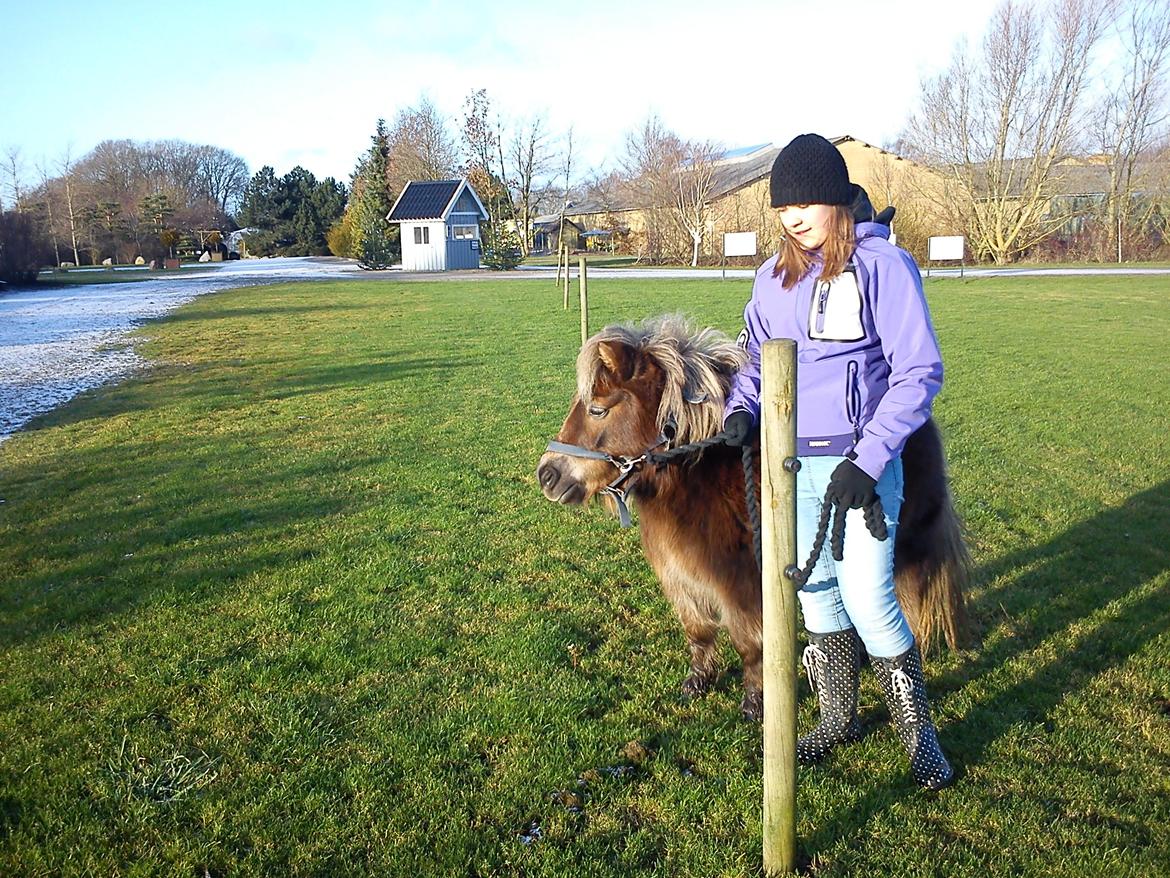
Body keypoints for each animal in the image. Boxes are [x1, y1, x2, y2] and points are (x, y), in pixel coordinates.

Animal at [535, 316, 968, 721]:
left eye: (597, 409)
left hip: (903, 549)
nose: (547, 475)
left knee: (906, 605)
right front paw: (698, 682)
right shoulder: (682, 579)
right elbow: (698, 631)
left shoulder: (743, 587)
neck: (697, 476)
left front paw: (755, 704)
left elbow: (751, 647)